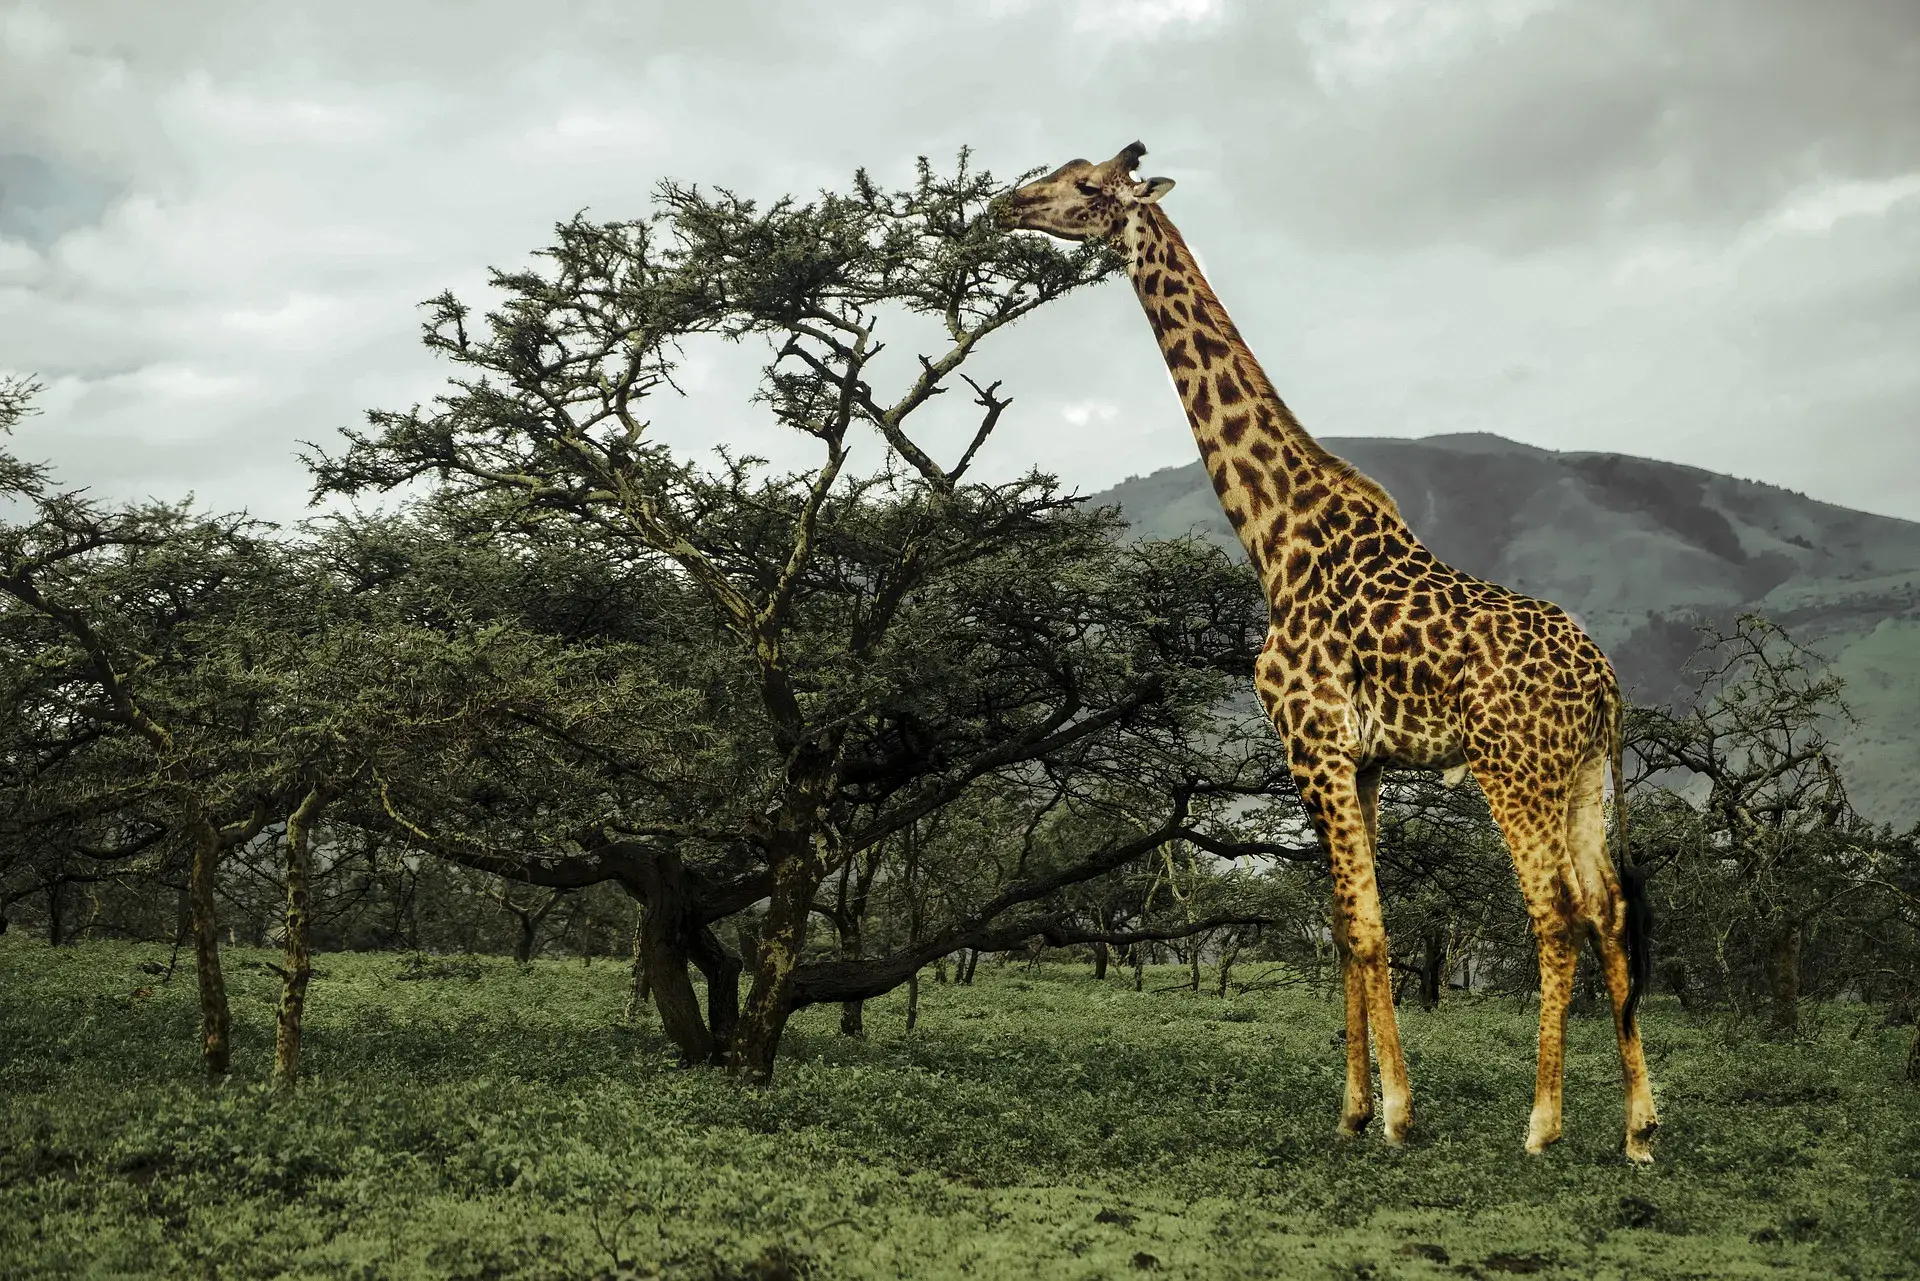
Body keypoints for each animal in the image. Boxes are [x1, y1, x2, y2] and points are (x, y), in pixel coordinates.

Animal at [998, 143, 1658, 1160]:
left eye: (1086, 186)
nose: (1004, 204)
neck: (1274, 537)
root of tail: (1607, 681)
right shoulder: (1366, 758)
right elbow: (1349, 926)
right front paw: (1351, 1106)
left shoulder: (1310, 741)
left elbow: (1369, 926)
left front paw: (1395, 1112)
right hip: (1583, 772)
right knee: (1610, 912)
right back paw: (1639, 1126)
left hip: (1514, 768)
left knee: (1553, 913)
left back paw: (1543, 1123)